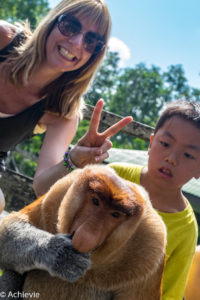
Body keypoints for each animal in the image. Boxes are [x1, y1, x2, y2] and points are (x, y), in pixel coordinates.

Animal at [0, 165, 166, 298]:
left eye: (115, 214)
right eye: (96, 201)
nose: (86, 235)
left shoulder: (152, 248)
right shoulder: (61, 188)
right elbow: (11, 224)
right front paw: (61, 255)